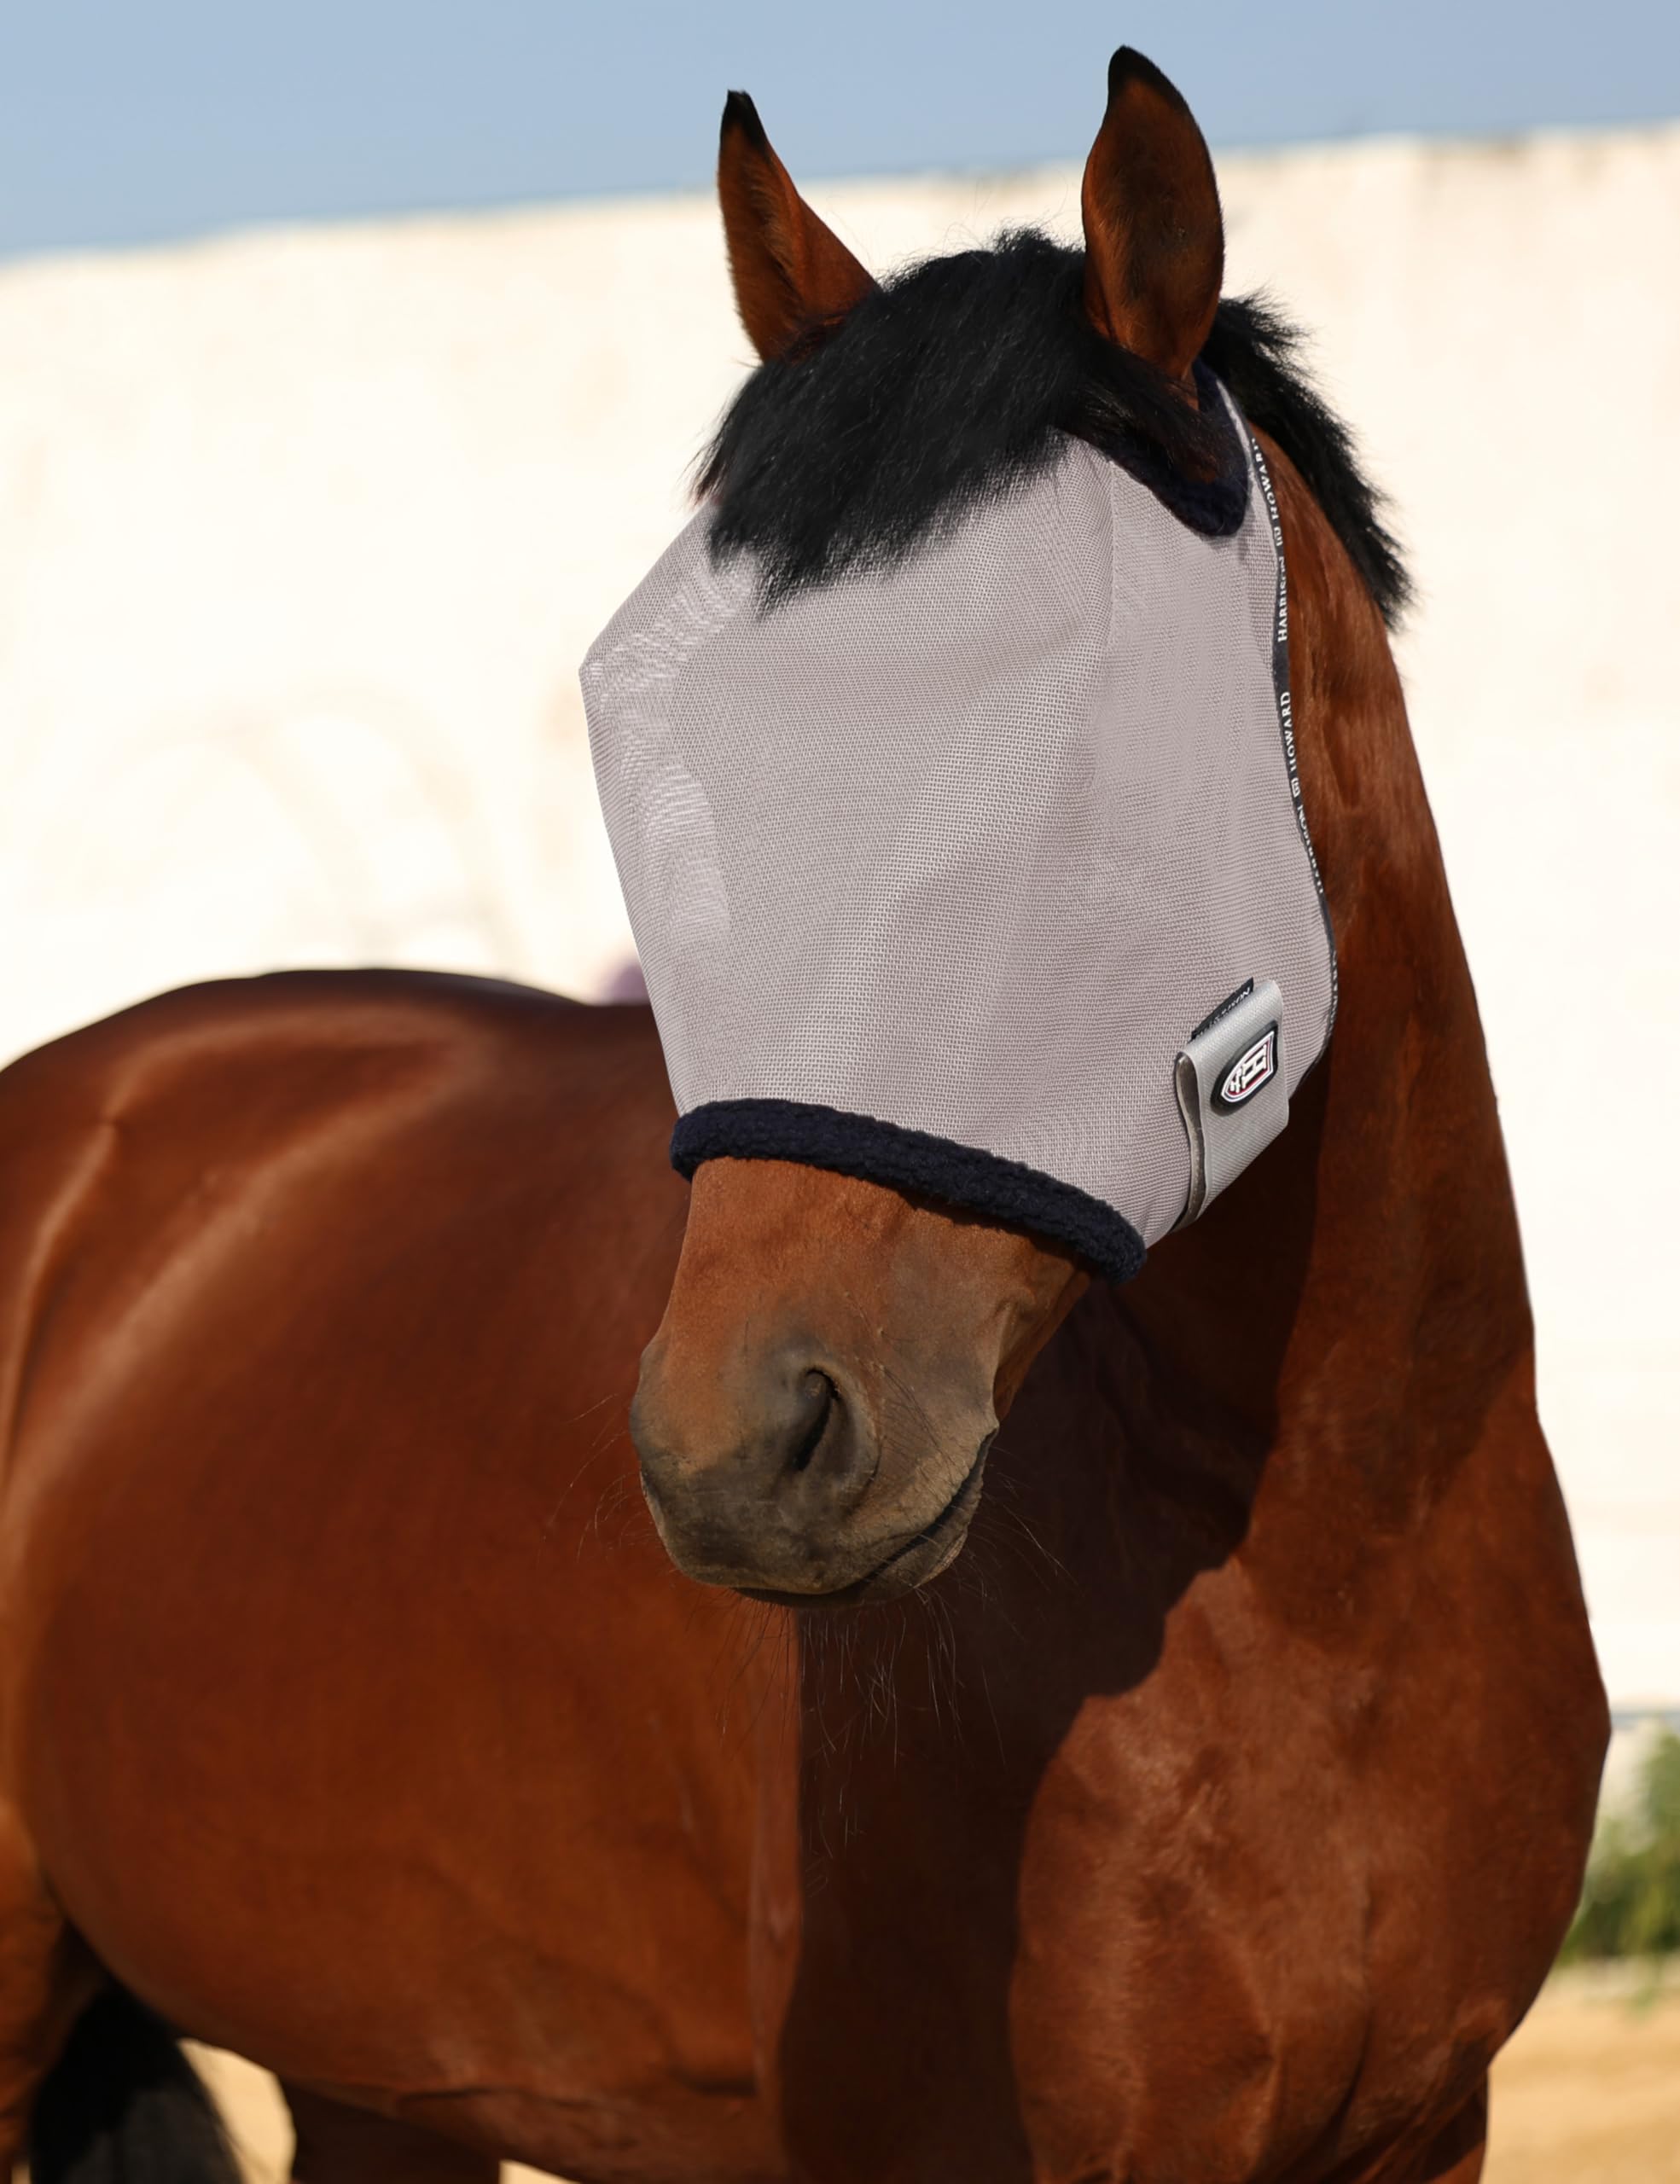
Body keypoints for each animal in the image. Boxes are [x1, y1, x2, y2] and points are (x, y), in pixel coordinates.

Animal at [0, 47, 1605, 2184]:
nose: (736, 1447)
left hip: (379, 2075)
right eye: (678, 746)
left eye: (1087, 751)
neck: (1335, 1562)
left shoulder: (1421, 2132)